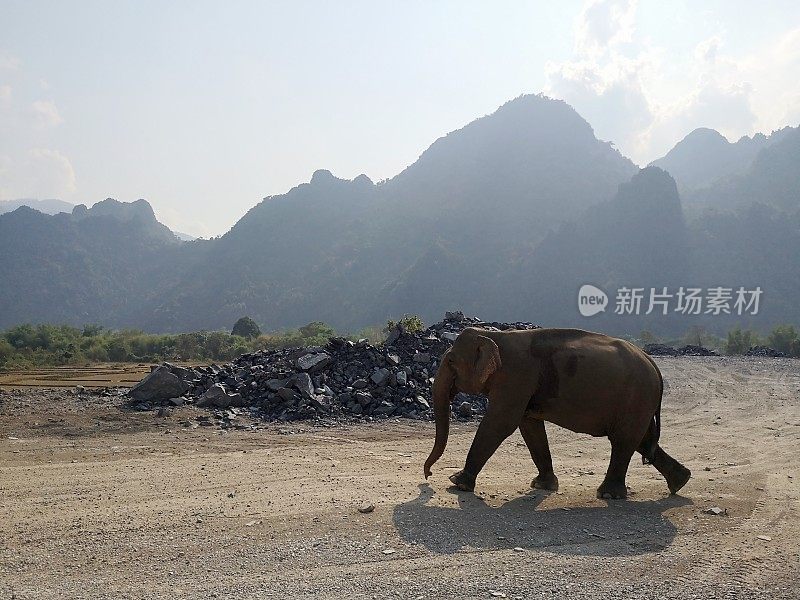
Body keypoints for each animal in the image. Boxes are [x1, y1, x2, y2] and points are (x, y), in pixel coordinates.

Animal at [422, 328, 692, 496]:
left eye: (450, 361)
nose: (428, 475)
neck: (495, 336)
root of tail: (654, 366)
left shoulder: (517, 377)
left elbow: (501, 423)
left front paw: (457, 483)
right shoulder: (523, 386)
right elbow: (529, 425)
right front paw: (542, 485)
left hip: (636, 397)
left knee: (624, 441)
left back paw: (608, 494)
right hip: (639, 403)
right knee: (641, 440)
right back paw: (680, 482)